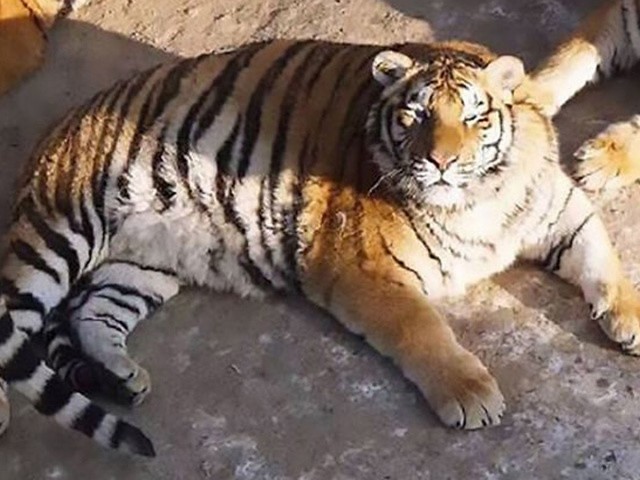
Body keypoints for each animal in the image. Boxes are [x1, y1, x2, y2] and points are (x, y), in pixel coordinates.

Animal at [2, 36, 640, 457]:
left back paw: (121, 376)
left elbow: (601, 253)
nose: (440, 162)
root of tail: (57, 129)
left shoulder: (559, 208)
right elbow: (422, 330)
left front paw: (629, 318)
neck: (478, 198)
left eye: (473, 117)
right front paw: (470, 392)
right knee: (15, 313)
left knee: (93, 312)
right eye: (414, 115)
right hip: (59, 233)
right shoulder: (362, 269)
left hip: (142, 263)